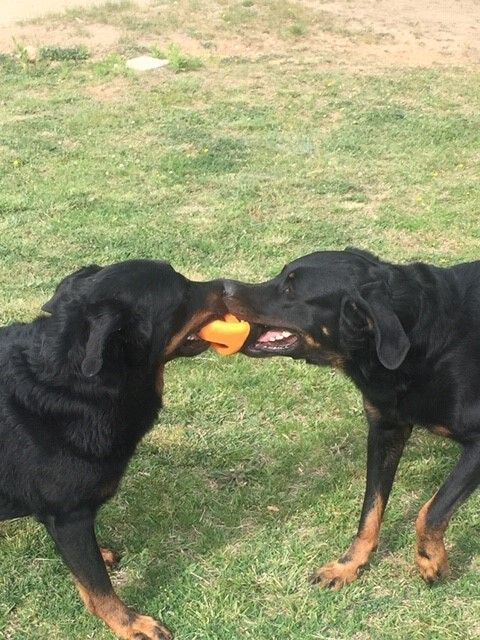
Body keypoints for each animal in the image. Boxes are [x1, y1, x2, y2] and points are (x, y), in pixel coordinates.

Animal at [0, 260, 225, 640]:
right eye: (182, 295)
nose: (229, 287)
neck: (74, 384)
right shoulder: (69, 515)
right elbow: (97, 584)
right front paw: (130, 623)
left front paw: (101, 552)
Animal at [224, 248, 480, 588]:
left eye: (291, 288)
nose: (224, 288)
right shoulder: (385, 431)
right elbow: (370, 509)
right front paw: (348, 565)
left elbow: (433, 509)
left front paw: (431, 561)